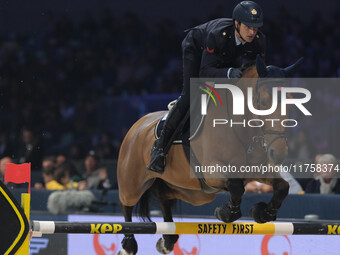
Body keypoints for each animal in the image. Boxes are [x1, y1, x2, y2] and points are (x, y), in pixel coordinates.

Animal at [117, 56, 302, 255]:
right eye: (263, 103)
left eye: (291, 103)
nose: (278, 152)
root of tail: (139, 124)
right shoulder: (212, 170)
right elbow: (236, 186)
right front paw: (227, 212)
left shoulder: (256, 170)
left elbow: (282, 187)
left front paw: (262, 213)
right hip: (132, 183)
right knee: (126, 203)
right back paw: (128, 245)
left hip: (195, 193)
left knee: (164, 195)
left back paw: (167, 240)